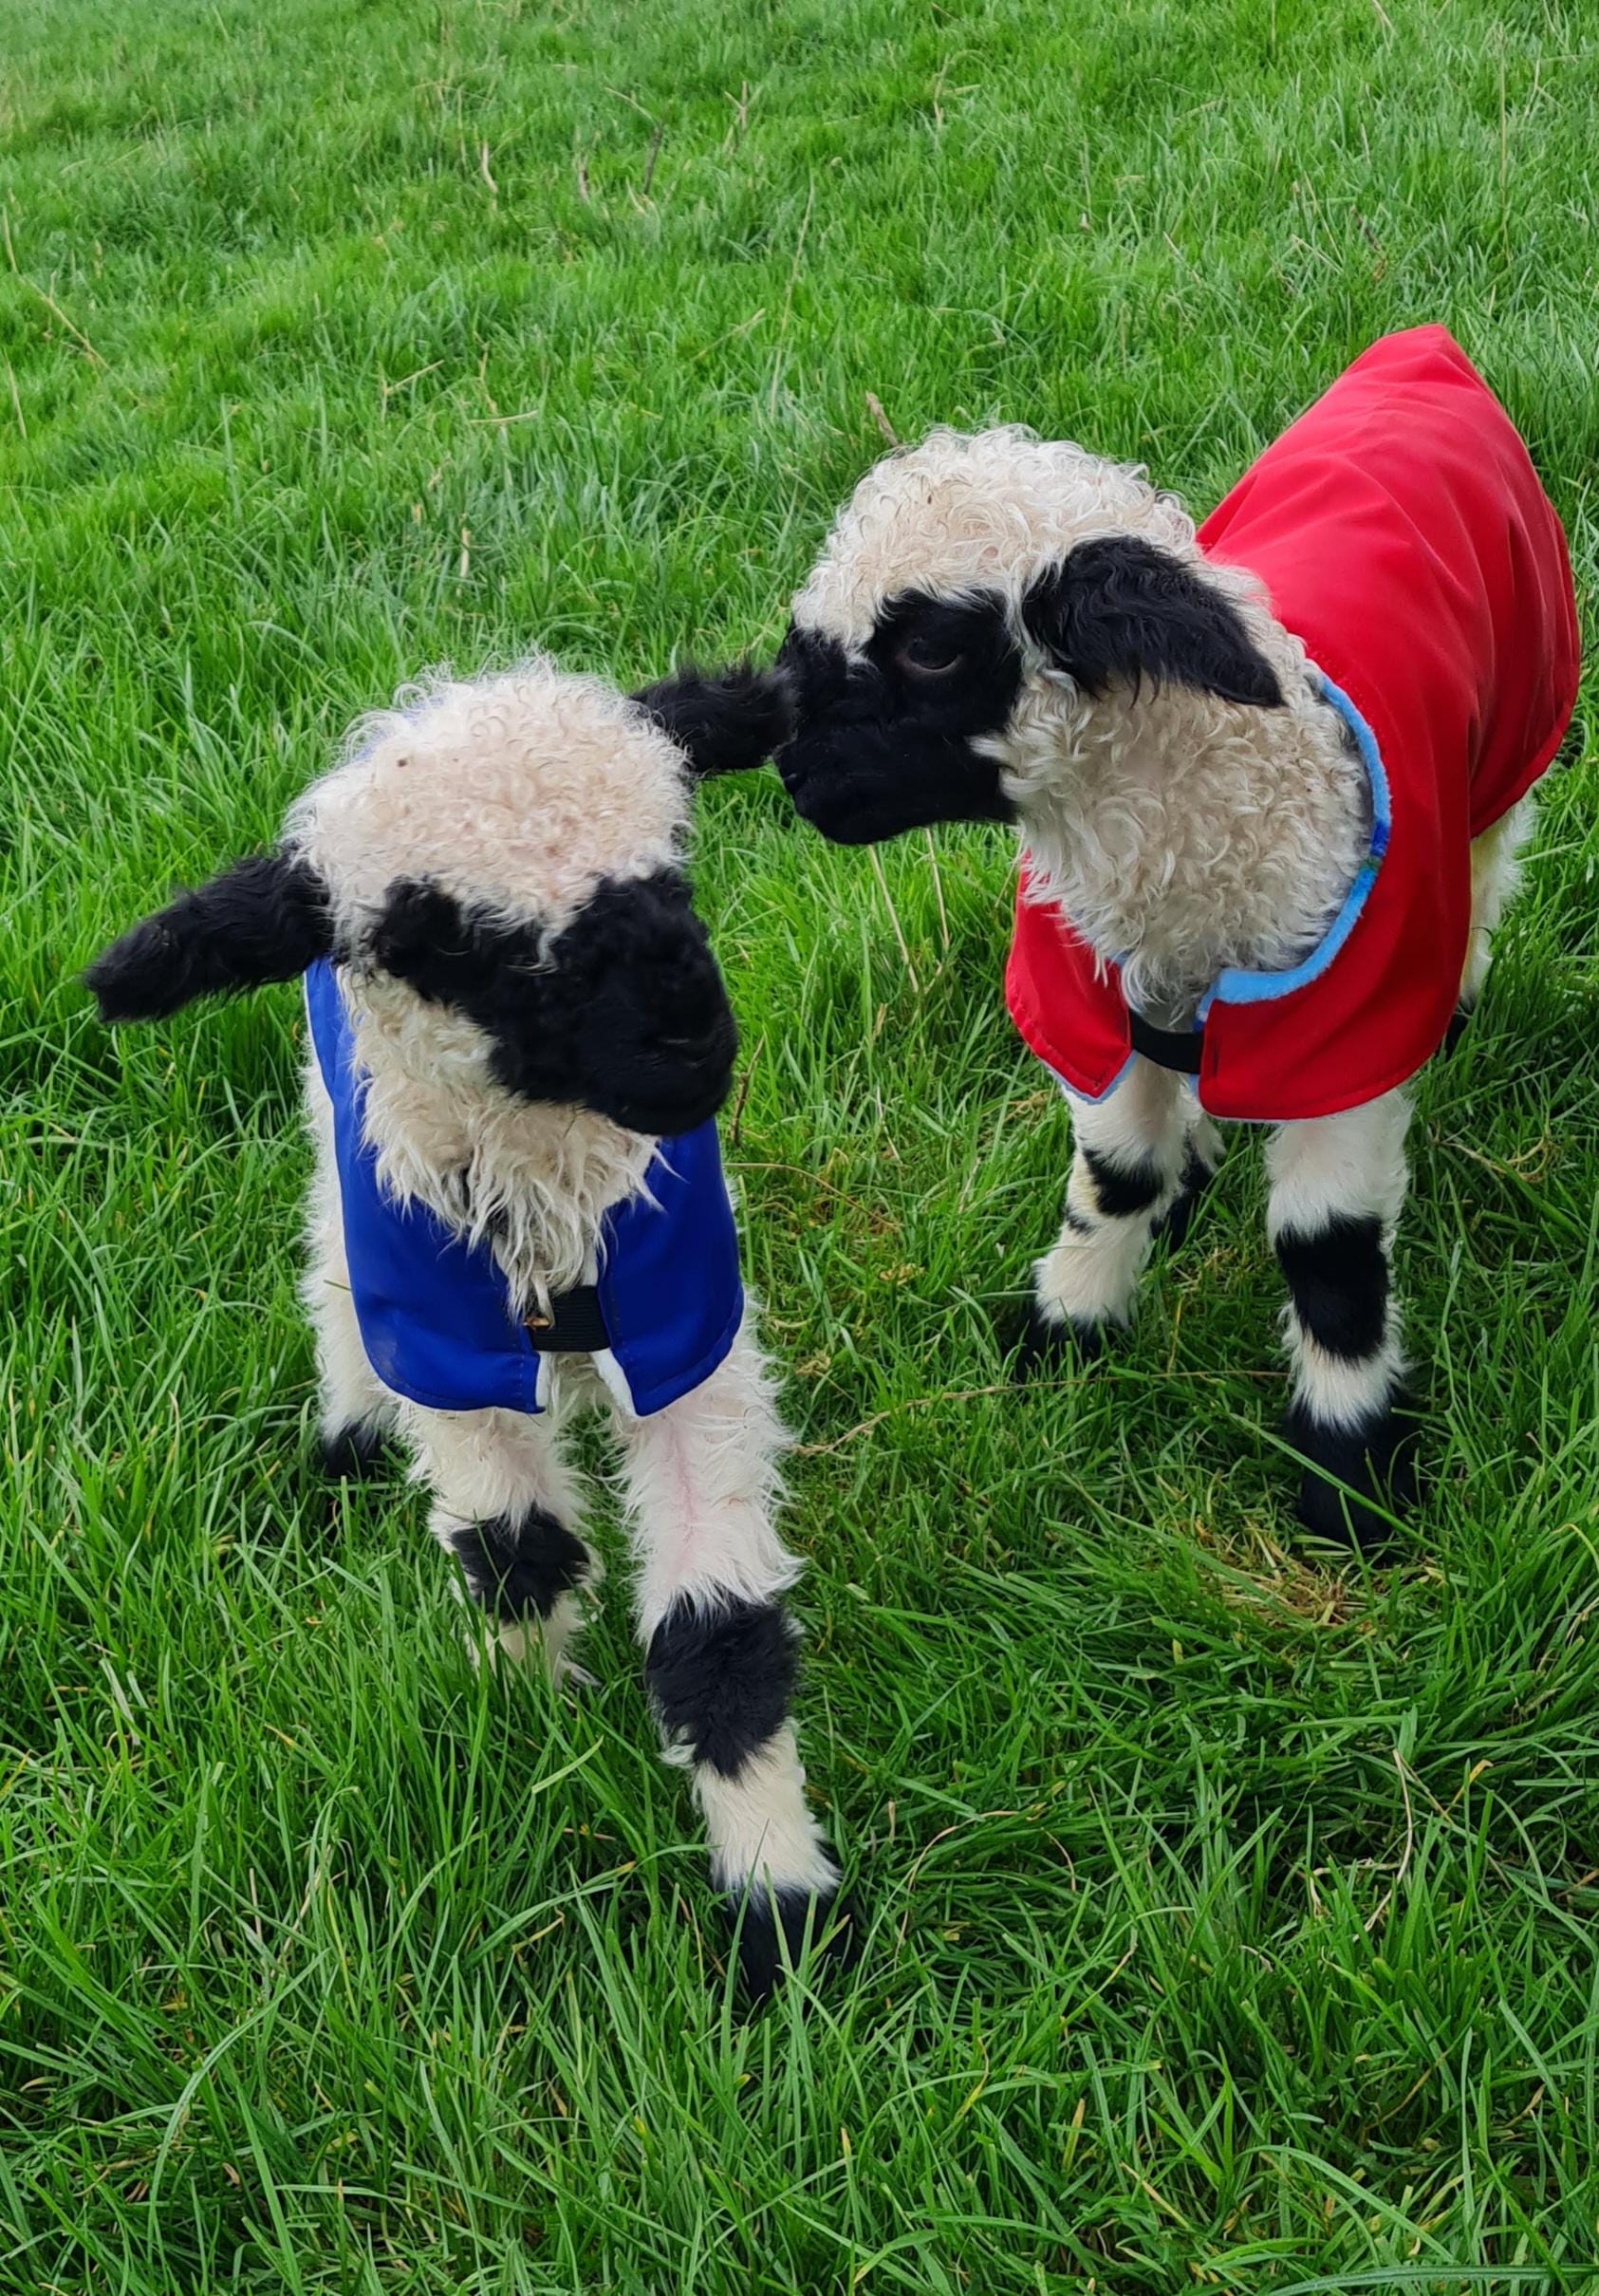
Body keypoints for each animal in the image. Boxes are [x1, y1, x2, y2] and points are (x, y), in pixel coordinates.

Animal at [86, 656, 855, 1999]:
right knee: (331, 1260)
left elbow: (721, 1634)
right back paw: (346, 1431)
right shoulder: (449, 1349)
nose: (689, 1035)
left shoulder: (687, 1333)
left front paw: (778, 1909)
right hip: (340, 1133)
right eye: (448, 946)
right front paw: (536, 1727)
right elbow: (513, 1551)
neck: (548, 1226)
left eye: (676, 860)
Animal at [767, 327, 1579, 1547]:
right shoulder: (1089, 1006)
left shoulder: (1339, 1046)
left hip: (1516, 731)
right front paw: (1066, 1331)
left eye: (929, 651)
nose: (790, 774)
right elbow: (1114, 1176)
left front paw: (1349, 1474)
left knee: (1484, 875)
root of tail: (1418, 350)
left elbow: (1328, 1255)